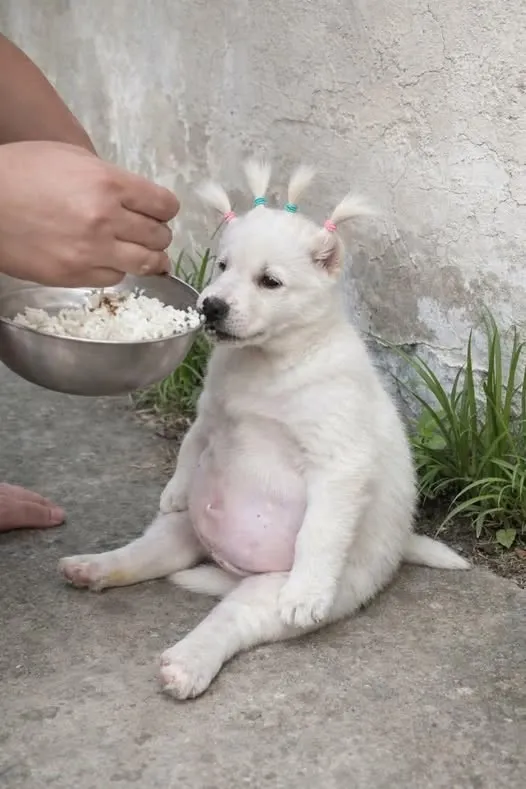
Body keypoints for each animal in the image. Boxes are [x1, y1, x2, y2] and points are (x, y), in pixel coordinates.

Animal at [60, 161, 469, 699]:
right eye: (221, 266)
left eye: (269, 281)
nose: (210, 307)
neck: (270, 361)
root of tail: (226, 567)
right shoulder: (210, 412)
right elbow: (191, 445)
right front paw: (174, 489)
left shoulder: (339, 462)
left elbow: (321, 529)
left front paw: (308, 594)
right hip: (184, 529)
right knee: (146, 553)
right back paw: (94, 567)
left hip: (266, 592)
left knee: (228, 621)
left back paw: (187, 663)